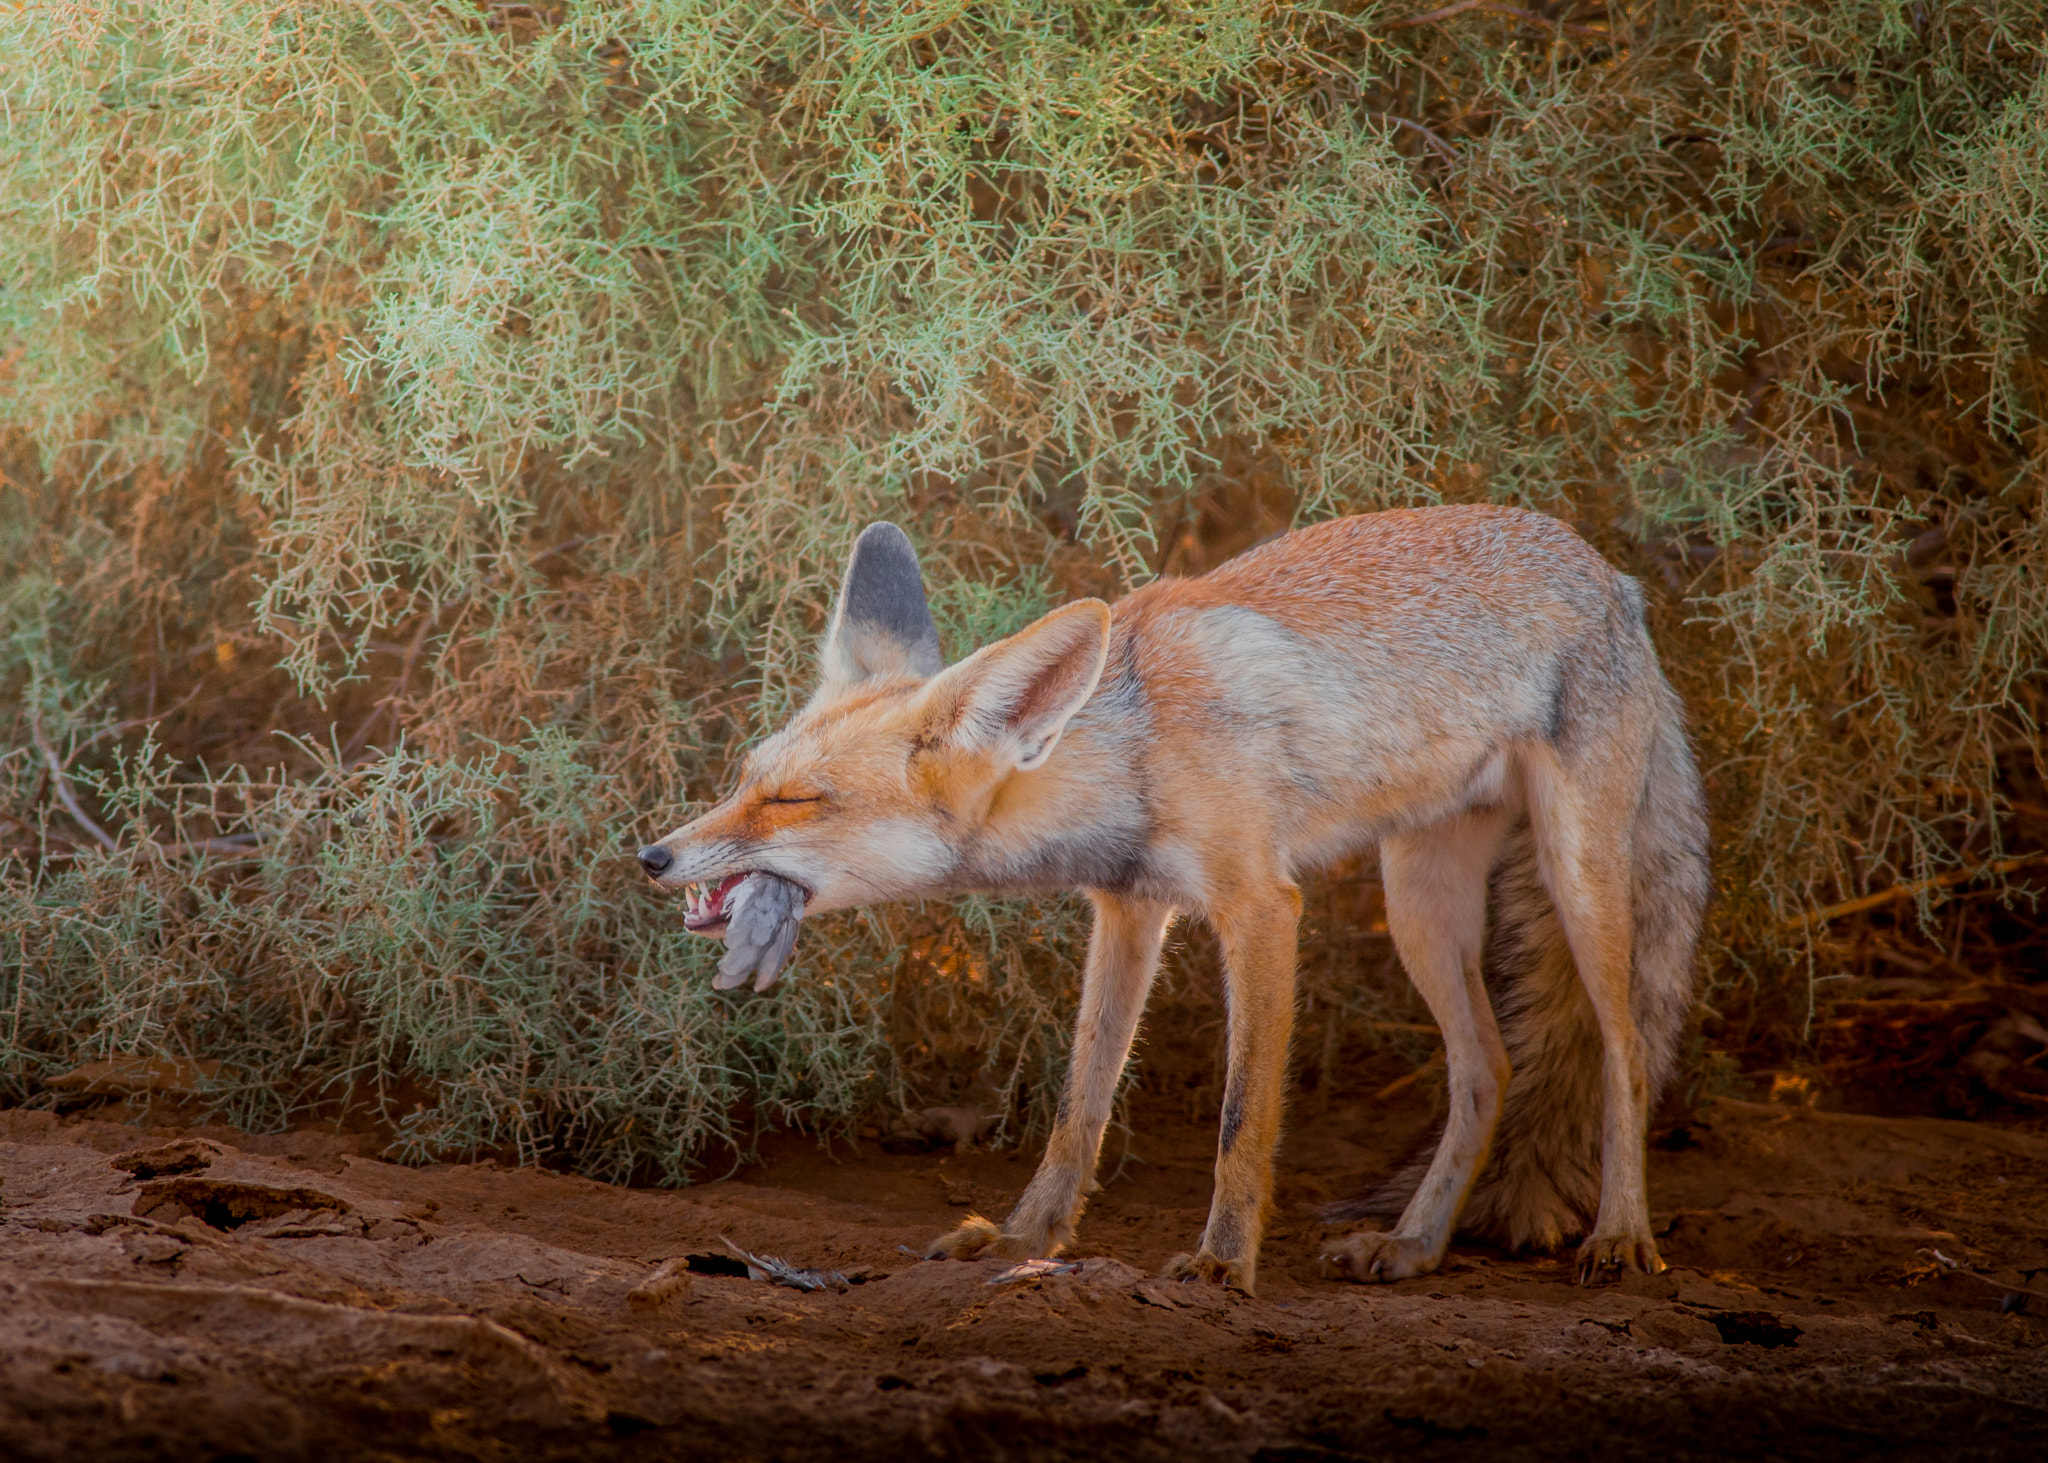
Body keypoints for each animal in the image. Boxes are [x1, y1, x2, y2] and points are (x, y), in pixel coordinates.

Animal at [637, 505, 1711, 1293]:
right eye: (747, 777)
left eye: (795, 801)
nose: (652, 855)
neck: (1137, 747)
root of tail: (1610, 573)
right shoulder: (1125, 910)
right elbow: (1080, 1105)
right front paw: (1028, 1238)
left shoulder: (1261, 905)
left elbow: (1242, 1118)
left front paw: (1224, 1262)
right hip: (1418, 897)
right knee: (1487, 1066)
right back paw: (1414, 1245)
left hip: (1579, 876)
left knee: (1624, 1050)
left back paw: (1621, 1237)